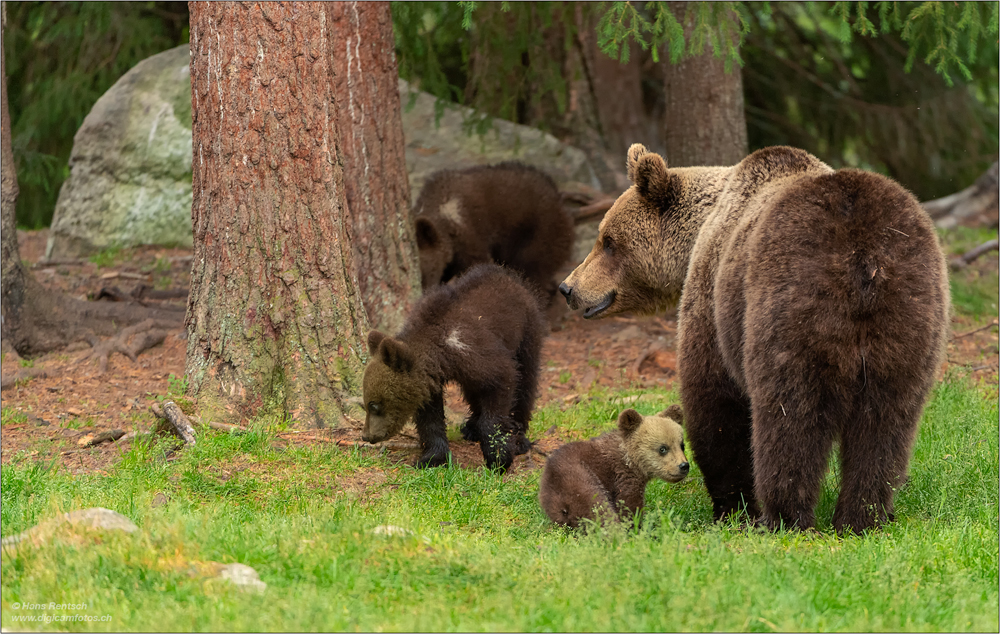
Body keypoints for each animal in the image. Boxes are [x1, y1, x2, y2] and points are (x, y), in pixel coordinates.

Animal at [560, 143, 948, 532]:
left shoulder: (713, 300)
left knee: (790, 417)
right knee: (886, 423)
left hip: (789, 305)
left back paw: (784, 516)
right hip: (908, 312)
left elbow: (715, 403)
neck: (701, 229)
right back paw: (863, 517)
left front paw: (731, 507)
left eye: (608, 241)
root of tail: (862, 258)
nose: (568, 288)